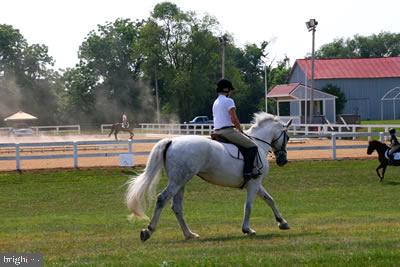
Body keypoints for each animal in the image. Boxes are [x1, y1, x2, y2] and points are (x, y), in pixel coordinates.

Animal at [126, 112, 292, 242]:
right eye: (288, 137)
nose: (282, 160)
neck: (259, 144)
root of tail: (172, 140)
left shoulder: (256, 184)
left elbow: (270, 200)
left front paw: (282, 222)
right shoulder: (254, 183)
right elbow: (249, 206)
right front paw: (247, 229)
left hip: (181, 181)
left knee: (177, 206)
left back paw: (189, 234)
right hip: (178, 180)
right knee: (162, 199)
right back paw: (148, 231)